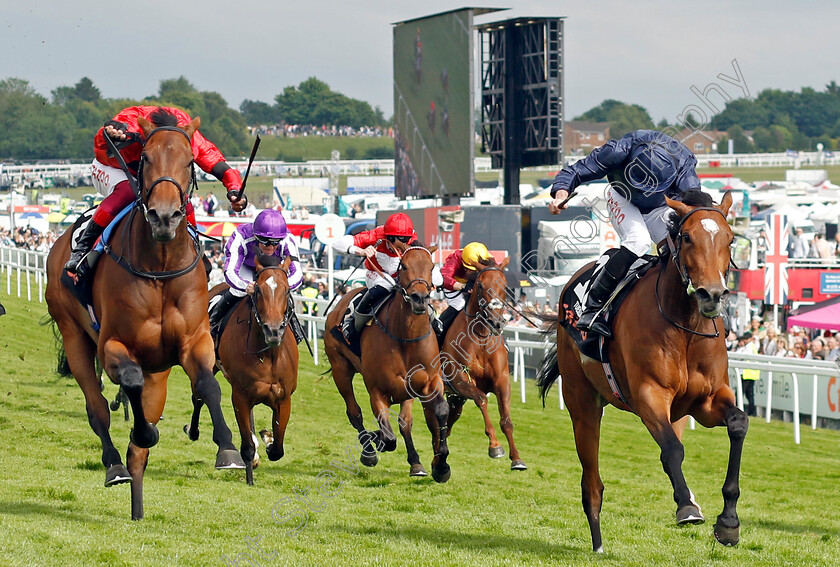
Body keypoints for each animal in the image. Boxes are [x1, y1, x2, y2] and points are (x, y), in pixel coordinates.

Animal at [45, 114, 243, 520]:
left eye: (189, 161)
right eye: (146, 158)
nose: (164, 217)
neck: (160, 266)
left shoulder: (194, 341)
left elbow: (208, 386)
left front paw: (228, 450)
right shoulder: (112, 346)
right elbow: (129, 383)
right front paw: (143, 430)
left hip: (159, 371)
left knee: (139, 451)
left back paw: (137, 507)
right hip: (74, 336)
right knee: (97, 409)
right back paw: (115, 465)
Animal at [185, 255, 296, 486]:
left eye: (287, 290)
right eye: (258, 290)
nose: (273, 331)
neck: (268, 355)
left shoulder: (283, 399)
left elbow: (277, 450)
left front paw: (267, 437)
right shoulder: (241, 397)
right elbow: (246, 446)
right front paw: (249, 468)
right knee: (198, 397)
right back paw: (193, 430)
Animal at [324, 244, 452, 484]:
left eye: (432, 266)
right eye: (404, 266)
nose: (419, 298)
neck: (405, 337)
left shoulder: (428, 382)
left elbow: (438, 411)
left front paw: (441, 466)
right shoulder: (377, 390)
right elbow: (389, 436)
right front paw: (376, 442)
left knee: (404, 422)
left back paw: (415, 462)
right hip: (340, 369)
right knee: (354, 412)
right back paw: (369, 451)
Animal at [440, 258, 524, 470]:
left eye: (504, 286)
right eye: (480, 285)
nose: (497, 322)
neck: (481, 338)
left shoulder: (502, 380)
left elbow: (506, 419)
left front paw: (517, 458)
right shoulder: (461, 379)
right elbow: (481, 399)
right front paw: (495, 446)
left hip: (455, 397)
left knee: (451, 419)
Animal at [536, 193, 744, 552]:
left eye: (730, 239)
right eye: (687, 237)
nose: (712, 294)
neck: (685, 327)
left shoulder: (705, 402)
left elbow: (737, 424)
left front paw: (728, 522)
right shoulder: (649, 395)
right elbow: (672, 450)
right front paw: (687, 509)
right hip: (583, 405)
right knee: (592, 483)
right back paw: (598, 544)